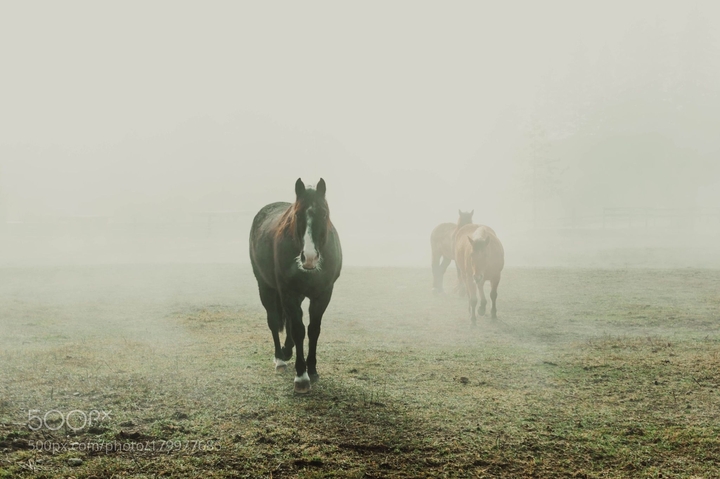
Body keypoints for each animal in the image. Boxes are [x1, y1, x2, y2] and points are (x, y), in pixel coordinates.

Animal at [249, 178, 342, 394]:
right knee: (274, 320)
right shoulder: (288, 292)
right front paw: (301, 376)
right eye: (297, 214)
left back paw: (287, 351)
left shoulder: (323, 294)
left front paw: (312, 369)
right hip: (266, 287)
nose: (309, 257)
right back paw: (280, 359)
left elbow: (313, 329)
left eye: (324, 213)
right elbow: (299, 330)